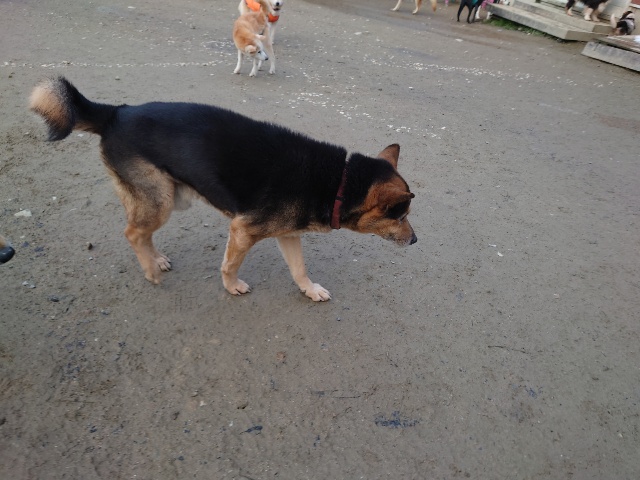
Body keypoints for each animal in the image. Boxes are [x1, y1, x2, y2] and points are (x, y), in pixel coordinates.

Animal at [30, 77, 417, 301]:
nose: (414, 240)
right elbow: (230, 265)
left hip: (166, 195)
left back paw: (156, 259)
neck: (339, 181)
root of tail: (116, 113)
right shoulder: (243, 230)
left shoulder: (288, 234)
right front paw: (232, 287)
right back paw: (150, 269)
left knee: (141, 231)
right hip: (162, 199)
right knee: (133, 232)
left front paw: (309, 289)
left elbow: (299, 268)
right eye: (401, 217)